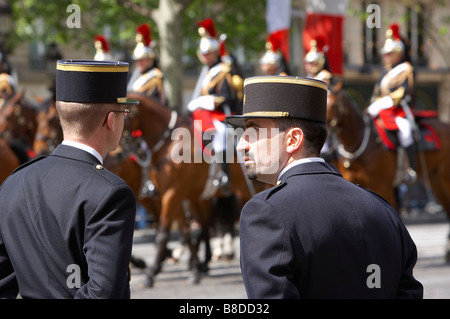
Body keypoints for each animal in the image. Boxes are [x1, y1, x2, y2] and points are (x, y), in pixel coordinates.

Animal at [118, 92, 268, 288]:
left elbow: (163, 234)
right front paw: (195, 270)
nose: (117, 151)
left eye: (124, 114)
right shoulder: (176, 195)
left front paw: (151, 274)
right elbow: (186, 232)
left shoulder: (172, 194)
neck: (170, 142)